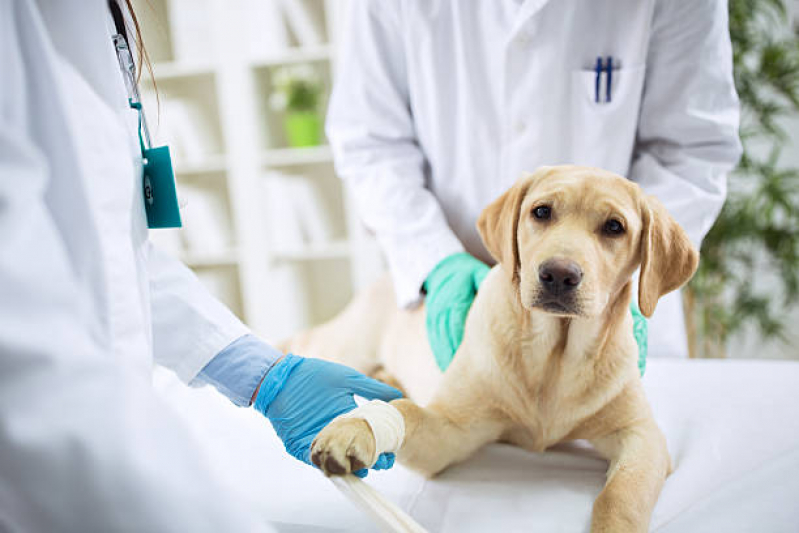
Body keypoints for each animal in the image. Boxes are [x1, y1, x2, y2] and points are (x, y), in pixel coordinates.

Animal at [290, 165, 700, 528]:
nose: (558, 274)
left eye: (615, 227)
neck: (555, 356)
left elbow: (621, 496)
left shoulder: (642, 436)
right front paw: (355, 427)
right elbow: (405, 411)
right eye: (541, 211)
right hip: (344, 345)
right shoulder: (450, 431)